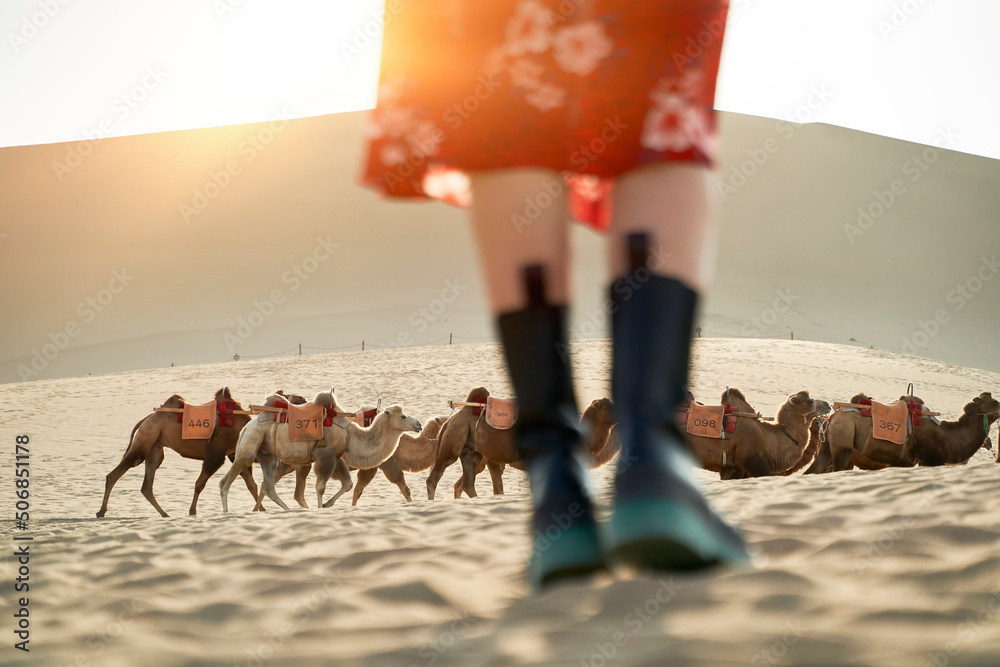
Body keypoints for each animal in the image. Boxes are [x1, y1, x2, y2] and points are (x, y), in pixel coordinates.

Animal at [96, 386, 258, 520]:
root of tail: (146, 419)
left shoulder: (234, 453)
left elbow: (251, 484)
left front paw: (259, 509)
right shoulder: (216, 453)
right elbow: (199, 484)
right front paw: (192, 511)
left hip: (154, 447)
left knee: (147, 485)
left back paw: (165, 514)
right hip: (146, 436)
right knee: (117, 473)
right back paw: (101, 512)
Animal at [221, 392, 420, 512]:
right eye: (403, 416)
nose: (418, 424)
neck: (352, 435)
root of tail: (247, 426)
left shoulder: (337, 456)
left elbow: (347, 484)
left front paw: (326, 504)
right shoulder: (326, 456)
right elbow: (320, 487)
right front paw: (320, 507)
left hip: (268, 455)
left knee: (268, 486)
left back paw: (288, 510)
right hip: (250, 446)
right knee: (227, 480)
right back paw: (226, 513)